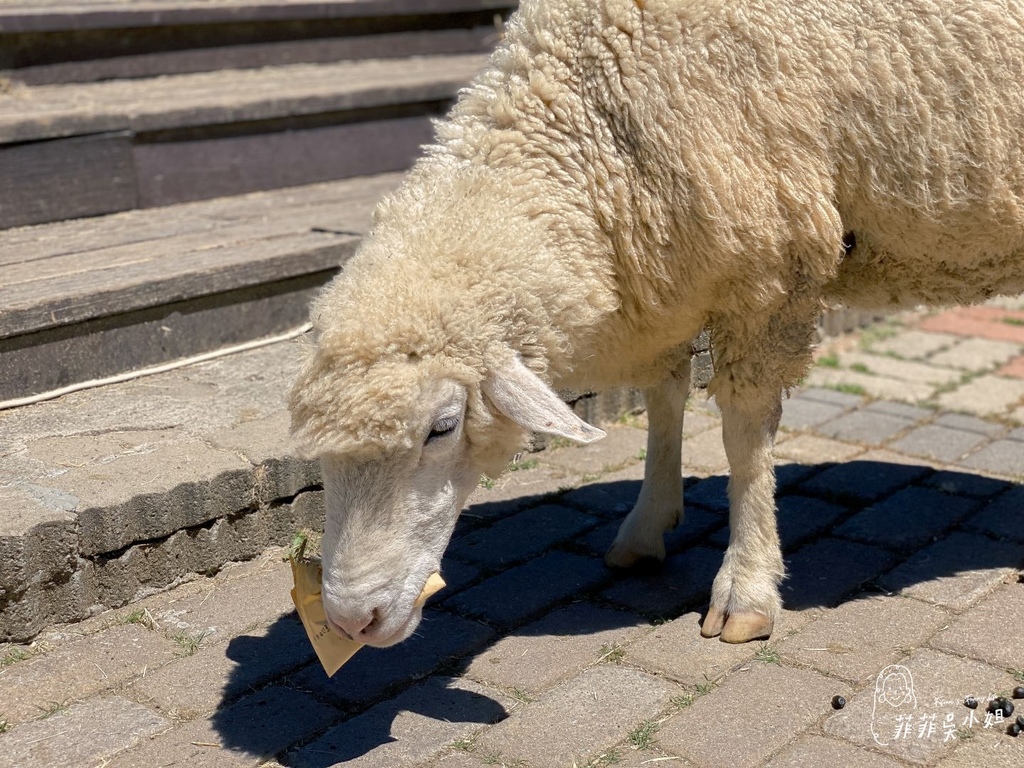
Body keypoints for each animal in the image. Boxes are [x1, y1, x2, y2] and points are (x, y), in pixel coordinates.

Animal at [286, 0, 1024, 651]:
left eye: (441, 428)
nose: (350, 621)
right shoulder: (666, 268)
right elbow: (663, 401)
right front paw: (646, 528)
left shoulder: (772, 269)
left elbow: (744, 435)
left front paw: (746, 588)